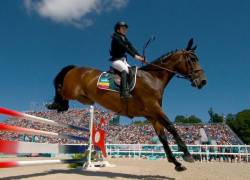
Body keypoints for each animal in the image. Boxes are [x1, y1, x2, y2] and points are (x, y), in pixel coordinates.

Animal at [47, 38, 207, 171]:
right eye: (192, 59)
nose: (203, 81)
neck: (153, 78)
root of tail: (76, 68)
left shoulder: (152, 115)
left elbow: (163, 138)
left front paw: (176, 163)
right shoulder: (154, 108)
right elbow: (171, 127)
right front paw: (187, 154)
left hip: (84, 97)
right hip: (70, 91)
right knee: (59, 87)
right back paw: (56, 105)